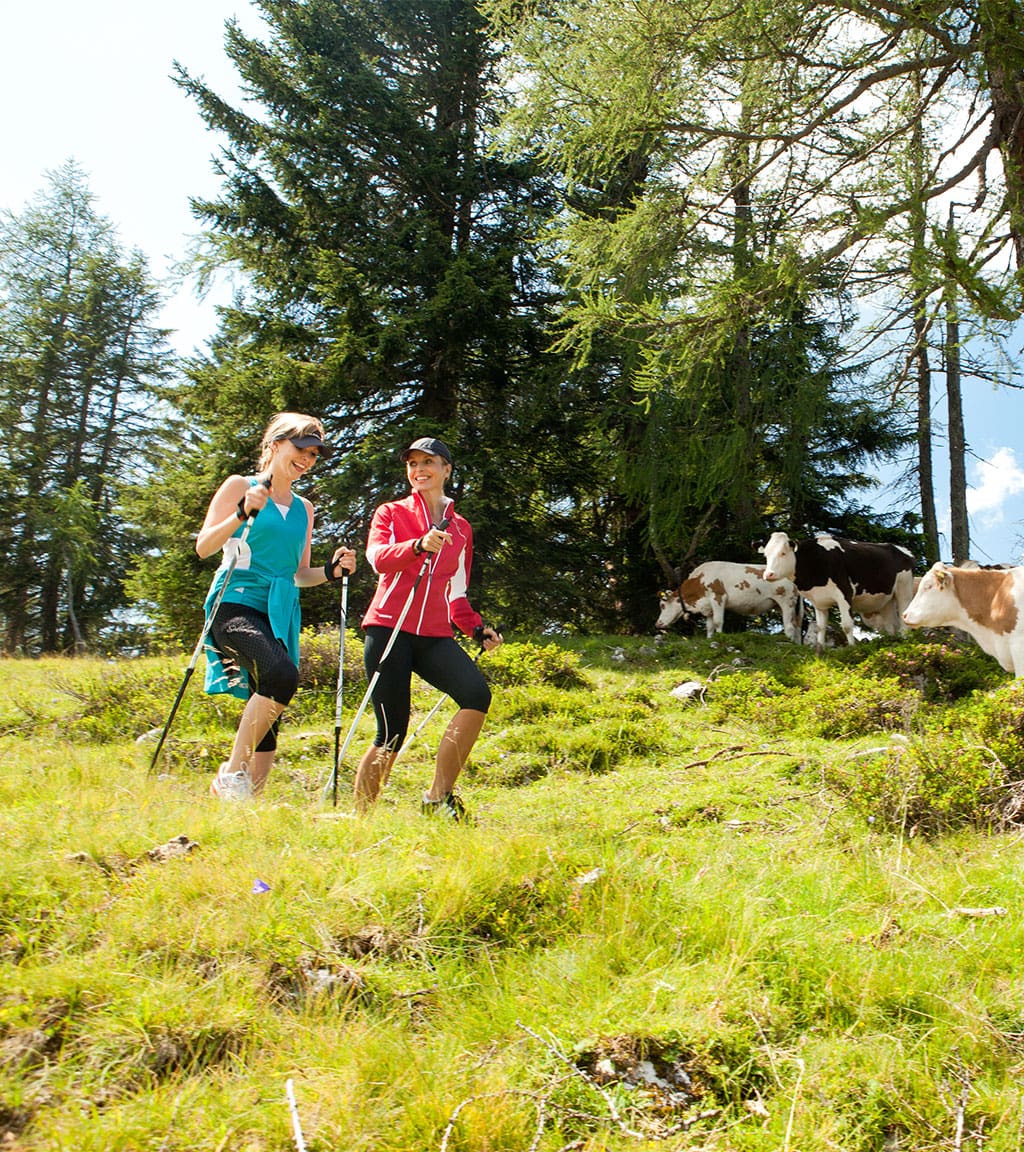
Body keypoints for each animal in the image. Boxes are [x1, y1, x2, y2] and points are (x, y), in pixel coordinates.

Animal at [649, 557, 801, 640]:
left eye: (662, 605)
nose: (658, 624)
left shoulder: (718, 597)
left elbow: (718, 621)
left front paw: (720, 637)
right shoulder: (707, 607)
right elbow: (709, 626)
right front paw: (709, 639)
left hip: (787, 601)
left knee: (789, 626)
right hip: (781, 605)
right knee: (797, 626)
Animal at [755, 529, 916, 649]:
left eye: (783, 553)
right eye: (766, 555)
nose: (768, 574)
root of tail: (901, 549)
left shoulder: (845, 594)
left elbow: (847, 625)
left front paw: (852, 648)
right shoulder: (818, 601)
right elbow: (820, 626)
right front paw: (820, 649)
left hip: (904, 589)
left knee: (904, 615)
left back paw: (905, 640)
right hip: (886, 598)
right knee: (891, 625)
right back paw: (893, 642)